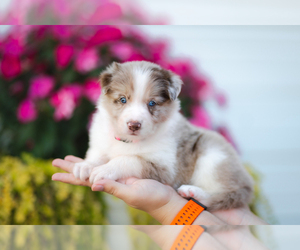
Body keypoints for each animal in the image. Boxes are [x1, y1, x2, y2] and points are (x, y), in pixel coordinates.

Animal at [72, 60, 253, 211]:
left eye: (152, 103)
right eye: (123, 99)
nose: (134, 125)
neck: (129, 141)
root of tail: (247, 183)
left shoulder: (164, 167)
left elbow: (129, 159)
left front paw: (105, 169)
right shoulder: (101, 144)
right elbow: (98, 155)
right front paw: (85, 165)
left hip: (213, 158)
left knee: (222, 193)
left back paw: (192, 191)